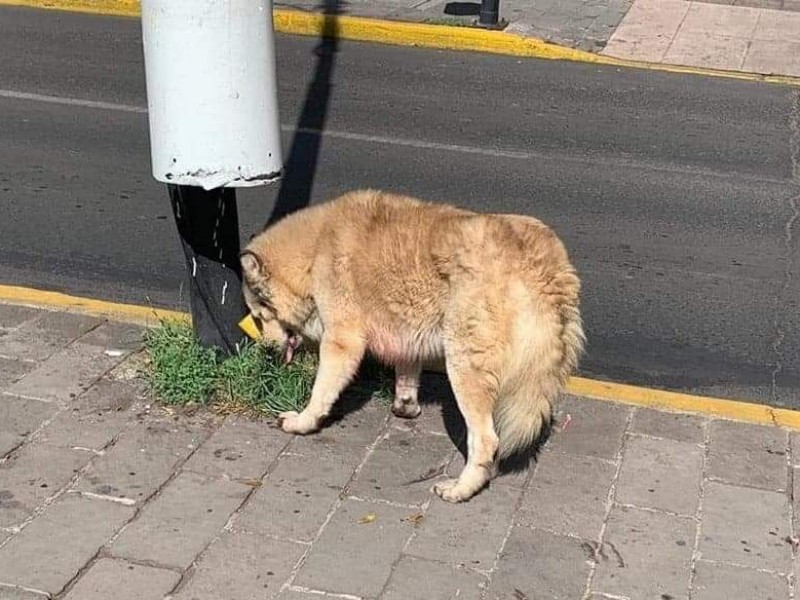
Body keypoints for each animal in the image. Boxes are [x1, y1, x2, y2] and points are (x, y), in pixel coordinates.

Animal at [238, 189, 580, 502]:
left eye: (260, 316)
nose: (266, 351)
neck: (315, 249)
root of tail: (547, 268)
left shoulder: (342, 341)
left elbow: (321, 392)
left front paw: (304, 422)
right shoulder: (405, 336)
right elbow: (406, 374)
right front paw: (405, 406)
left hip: (463, 367)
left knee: (485, 440)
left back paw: (461, 489)